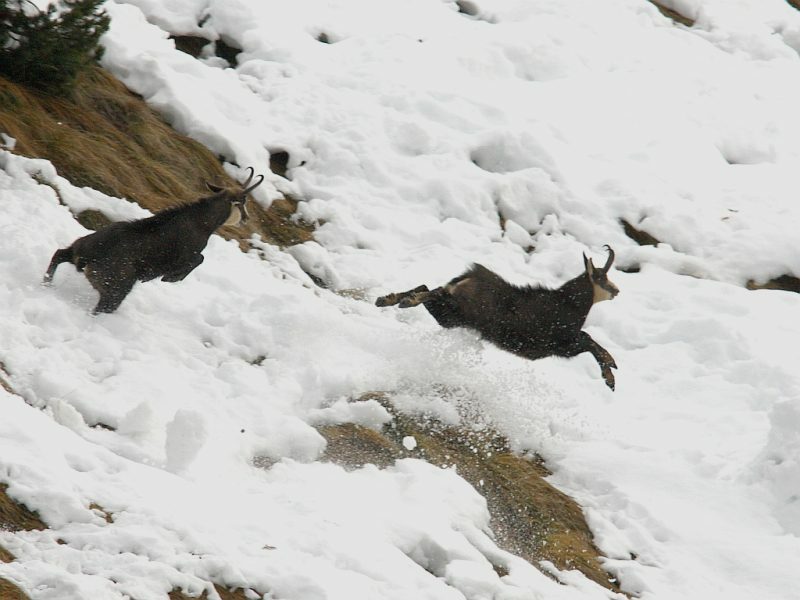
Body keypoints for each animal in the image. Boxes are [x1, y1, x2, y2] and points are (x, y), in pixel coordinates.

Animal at [43, 167, 265, 314]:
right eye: (242, 202)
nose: (246, 219)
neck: (202, 222)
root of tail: (88, 259)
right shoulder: (188, 254)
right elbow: (199, 259)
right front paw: (171, 278)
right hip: (117, 288)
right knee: (102, 307)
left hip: (78, 247)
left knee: (58, 254)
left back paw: (46, 284)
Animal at [376, 246, 620, 389]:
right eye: (602, 278)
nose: (617, 290)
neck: (570, 304)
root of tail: (467, 276)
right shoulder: (560, 344)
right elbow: (589, 341)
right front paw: (610, 372)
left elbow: (588, 339)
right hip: (457, 311)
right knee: (431, 291)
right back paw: (406, 301)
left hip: (451, 315)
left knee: (428, 288)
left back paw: (388, 299)